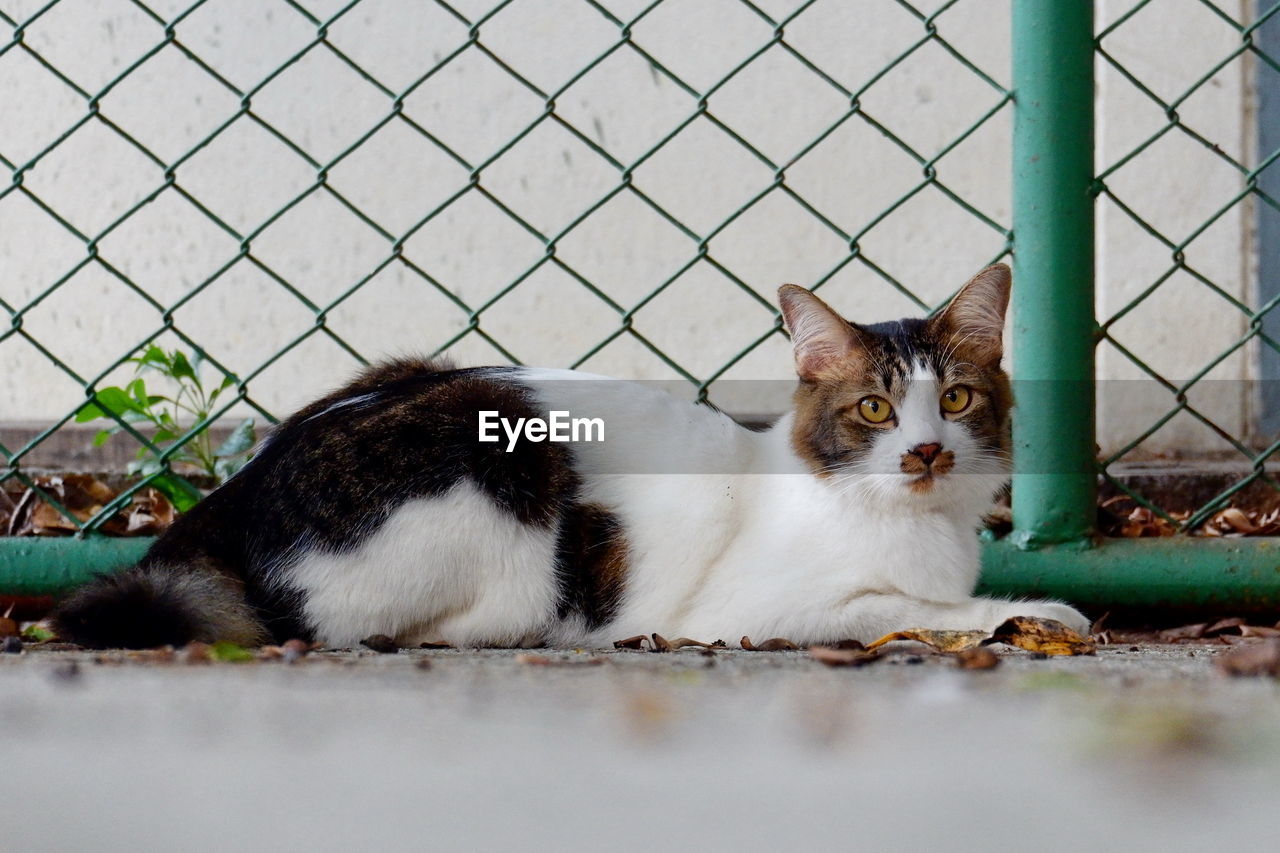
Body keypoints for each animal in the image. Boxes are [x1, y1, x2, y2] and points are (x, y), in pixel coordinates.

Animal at [52, 262, 1090, 648]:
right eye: (874, 407)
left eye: (954, 399)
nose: (926, 452)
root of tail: (229, 498)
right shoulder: (753, 612)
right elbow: (915, 607)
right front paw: (1037, 610)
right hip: (500, 449)